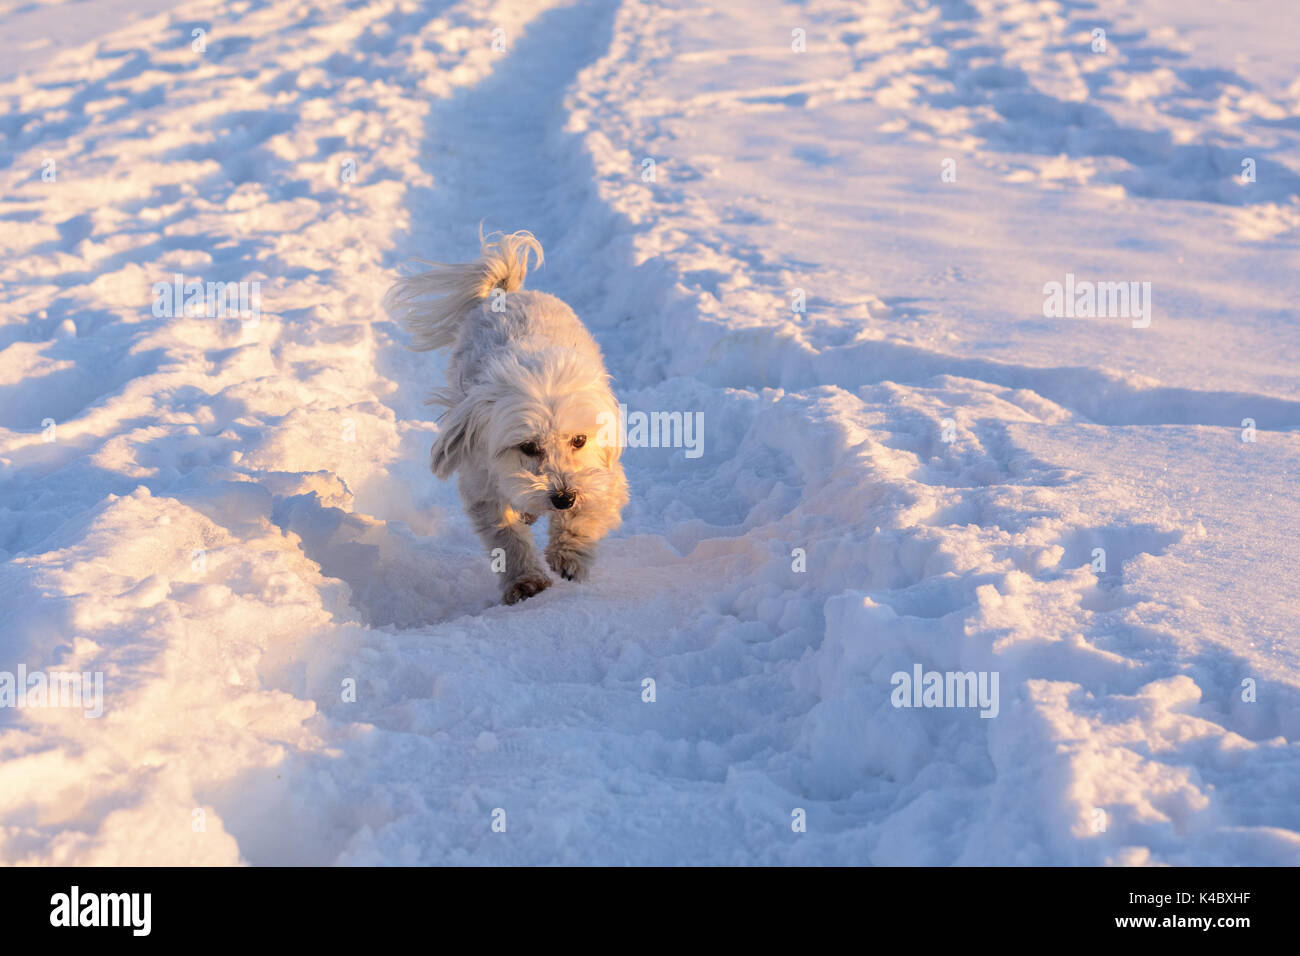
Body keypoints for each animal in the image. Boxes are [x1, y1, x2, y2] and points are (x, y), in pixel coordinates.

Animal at [382, 232, 626, 606]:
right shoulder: (480, 477)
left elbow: (590, 507)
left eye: (579, 440)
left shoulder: (601, 469)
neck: (537, 368)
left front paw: (568, 553)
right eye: (527, 446)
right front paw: (525, 581)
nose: (563, 497)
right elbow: (506, 536)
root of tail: (508, 293)